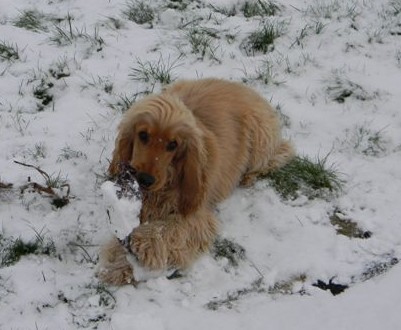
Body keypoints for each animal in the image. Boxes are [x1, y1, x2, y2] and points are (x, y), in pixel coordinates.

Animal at [99, 78, 294, 284]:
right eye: (143, 135)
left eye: (173, 145)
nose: (145, 179)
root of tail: (248, 89)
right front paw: (117, 262)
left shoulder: (196, 216)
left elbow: (168, 228)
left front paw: (137, 246)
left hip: (261, 139)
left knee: (280, 154)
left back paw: (248, 177)